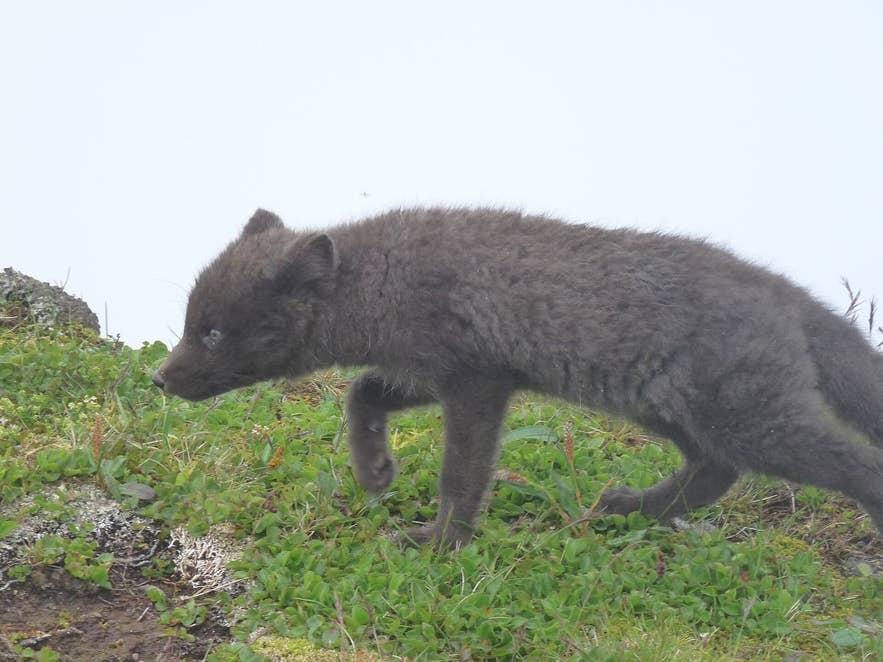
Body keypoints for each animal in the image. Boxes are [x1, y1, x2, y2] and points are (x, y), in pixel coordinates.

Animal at [153, 207, 883, 548]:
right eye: (190, 321)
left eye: (211, 331)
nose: (160, 380)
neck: (387, 279)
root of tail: (786, 291)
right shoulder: (436, 372)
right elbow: (362, 391)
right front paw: (375, 472)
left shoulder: (477, 382)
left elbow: (461, 476)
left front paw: (440, 544)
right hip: (669, 409)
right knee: (714, 470)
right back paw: (628, 509)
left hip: (749, 417)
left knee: (851, 463)